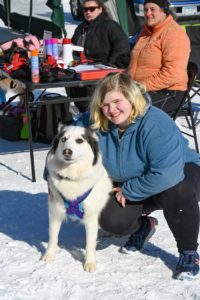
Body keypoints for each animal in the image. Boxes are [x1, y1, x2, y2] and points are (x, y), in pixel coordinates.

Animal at [42, 124, 112, 272]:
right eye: (63, 139)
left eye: (80, 140)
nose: (67, 151)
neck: (72, 177)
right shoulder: (55, 212)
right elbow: (53, 236)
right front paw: (49, 254)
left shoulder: (91, 217)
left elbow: (90, 243)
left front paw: (90, 263)